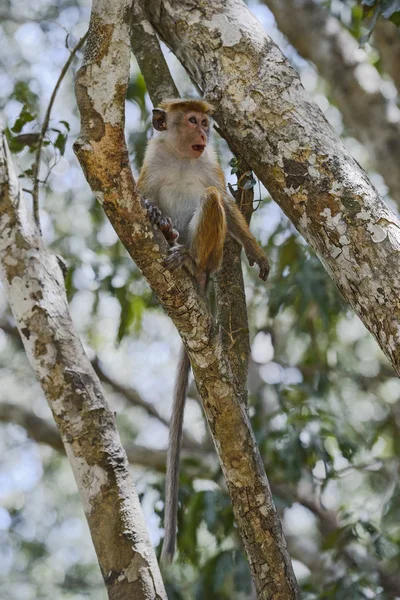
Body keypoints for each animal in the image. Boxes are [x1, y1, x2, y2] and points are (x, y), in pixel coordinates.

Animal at [136, 98, 270, 564]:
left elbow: (226, 203)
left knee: (211, 201)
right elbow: (138, 197)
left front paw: (257, 252)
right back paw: (164, 227)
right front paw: (151, 211)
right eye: (192, 119)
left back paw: (188, 257)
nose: (206, 129)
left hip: (211, 256)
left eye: (205, 121)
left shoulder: (209, 161)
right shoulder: (151, 158)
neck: (181, 155)